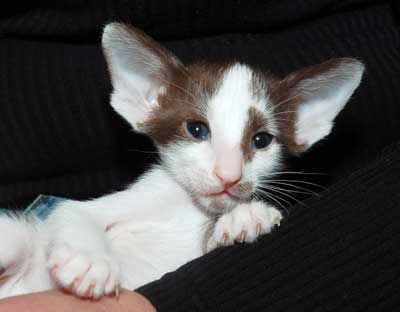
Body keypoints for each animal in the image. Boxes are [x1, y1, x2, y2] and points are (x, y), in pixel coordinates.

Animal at [0, 22, 364, 300]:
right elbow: (72, 211)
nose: (229, 175)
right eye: (197, 130)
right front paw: (89, 261)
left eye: (261, 140)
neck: (187, 207)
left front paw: (244, 217)